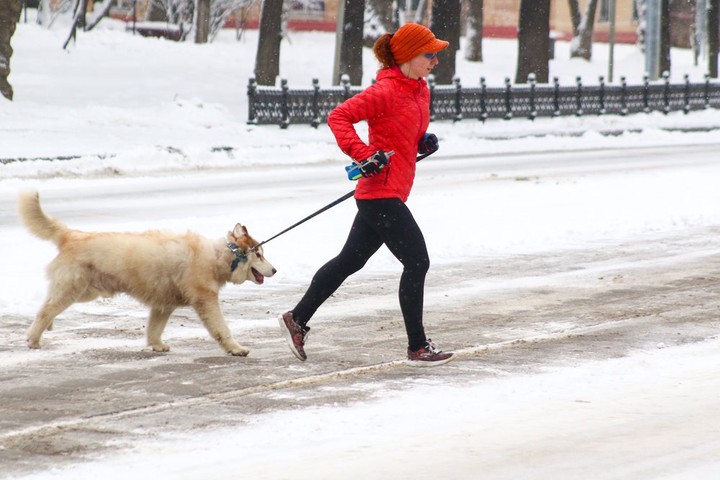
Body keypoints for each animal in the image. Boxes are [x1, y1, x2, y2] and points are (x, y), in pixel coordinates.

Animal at [17, 189, 276, 354]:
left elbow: (154, 328)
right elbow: (222, 328)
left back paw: (46, 327)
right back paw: (33, 338)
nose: (274, 269)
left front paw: (156, 345)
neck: (220, 257)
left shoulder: (163, 305)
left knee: (47, 306)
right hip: (74, 289)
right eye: (260, 255)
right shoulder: (206, 300)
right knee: (46, 309)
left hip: (84, 292)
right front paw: (236, 349)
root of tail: (72, 234)